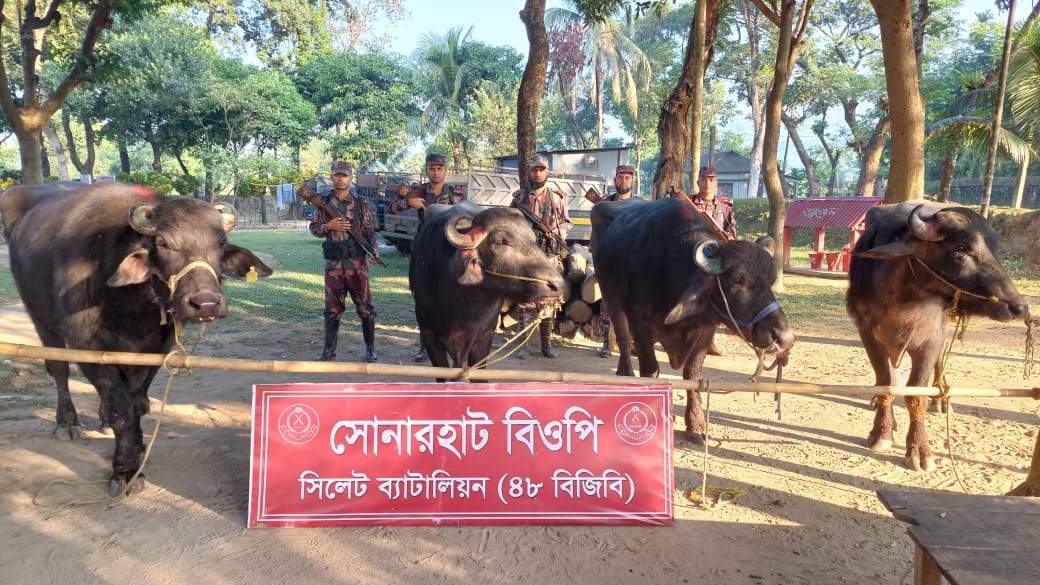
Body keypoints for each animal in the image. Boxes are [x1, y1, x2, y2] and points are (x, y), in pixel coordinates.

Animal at [0, 181, 269, 496]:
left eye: (221, 243)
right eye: (163, 243)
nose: (206, 304)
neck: (131, 305)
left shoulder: (156, 347)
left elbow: (137, 401)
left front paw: (139, 446)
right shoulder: (86, 345)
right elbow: (122, 408)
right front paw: (126, 470)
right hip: (40, 315)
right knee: (59, 369)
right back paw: (67, 422)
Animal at [591, 197, 795, 443]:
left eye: (770, 280)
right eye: (737, 280)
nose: (785, 337)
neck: (669, 271)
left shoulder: (705, 331)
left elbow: (692, 374)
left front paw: (696, 424)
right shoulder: (640, 325)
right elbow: (651, 370)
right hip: (611, 297)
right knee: (621, 337)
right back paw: (626, 375)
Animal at [847, 201, 1028, 471]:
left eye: (993, 248)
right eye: (961, 248)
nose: (1018, 306)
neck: (901, 301)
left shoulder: (929, 341)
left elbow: (917, 395)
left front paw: (919, 450)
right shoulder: (868, 335)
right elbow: (886, 383)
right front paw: (882, 432)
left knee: (941, 361)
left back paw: (942, 398)